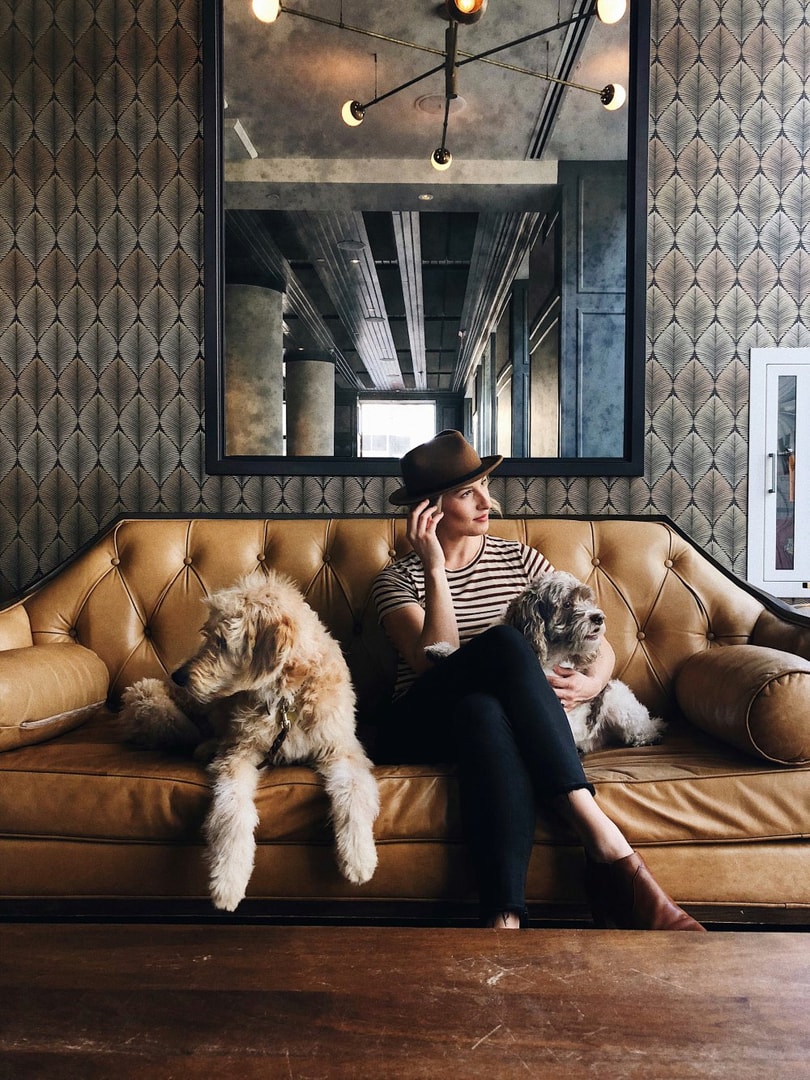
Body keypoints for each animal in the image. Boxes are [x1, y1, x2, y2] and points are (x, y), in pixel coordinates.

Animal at [505, 570, 669, 756]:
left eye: (586, 599)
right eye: (567, 603)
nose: (599, 617)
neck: (551, 659)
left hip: (618, 701)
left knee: (645, 726)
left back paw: (646, 737)